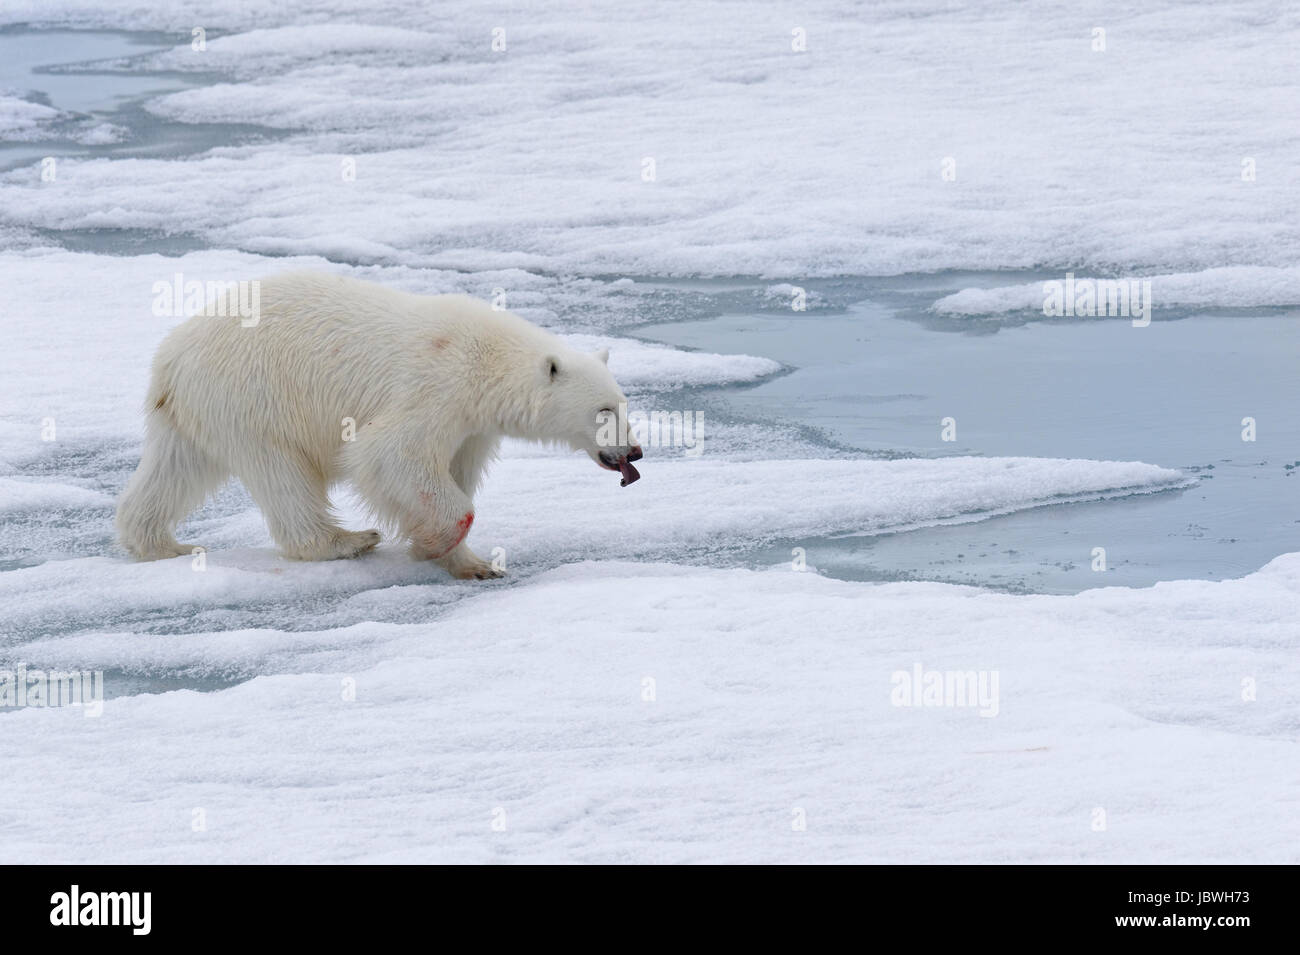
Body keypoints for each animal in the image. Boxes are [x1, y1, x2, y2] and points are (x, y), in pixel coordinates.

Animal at [114, 272, 642, 579]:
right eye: (603, 411)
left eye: (623, 405)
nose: (633, 453)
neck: (487, 360)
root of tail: (172, 356)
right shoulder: (434, 389)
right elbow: (392, 455)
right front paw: (431, 545)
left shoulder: (473, 427)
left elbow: (453, 472)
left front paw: (472, 564)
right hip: (255, 395)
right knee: (282, 473)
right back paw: (347, 541)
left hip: (195, 409)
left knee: (173, 469)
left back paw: (161, 543)